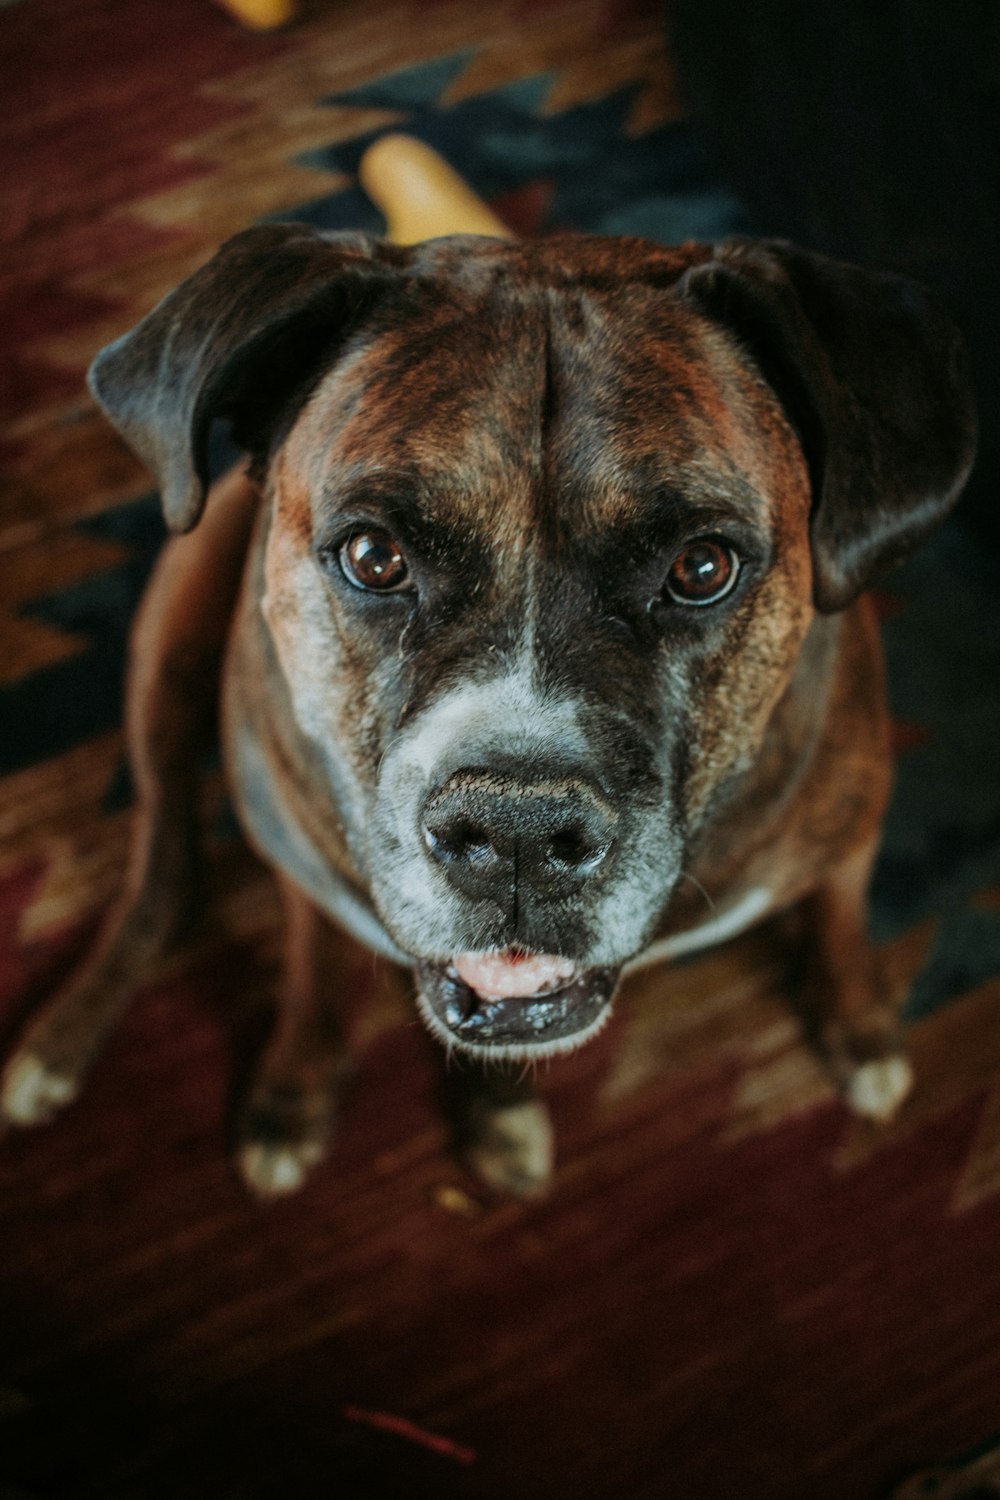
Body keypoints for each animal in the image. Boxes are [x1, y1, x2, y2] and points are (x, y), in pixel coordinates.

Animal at [0, 225, 971, 1206]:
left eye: (702, 568)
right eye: (372, 556)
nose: (517, 832)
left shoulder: (851, 831)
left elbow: (843, 921)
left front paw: (862, 1027)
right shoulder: (304, 872)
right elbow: (314, 977)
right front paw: (296, 1088)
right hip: (173, 632)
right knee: (162, 864)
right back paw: (61, 1041)